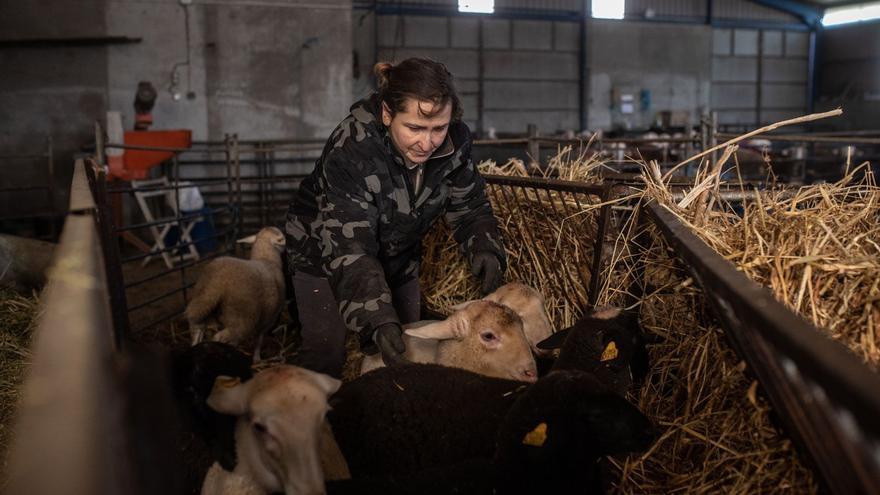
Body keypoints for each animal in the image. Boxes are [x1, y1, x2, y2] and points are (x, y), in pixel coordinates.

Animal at [186, 227, 286, 358]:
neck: (267, 259)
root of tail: (216, 282)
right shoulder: (268, 319)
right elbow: (259, 340)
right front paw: (257, 358)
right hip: (241, 318)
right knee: (219, 338)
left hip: (201, 302)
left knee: (197, 330)